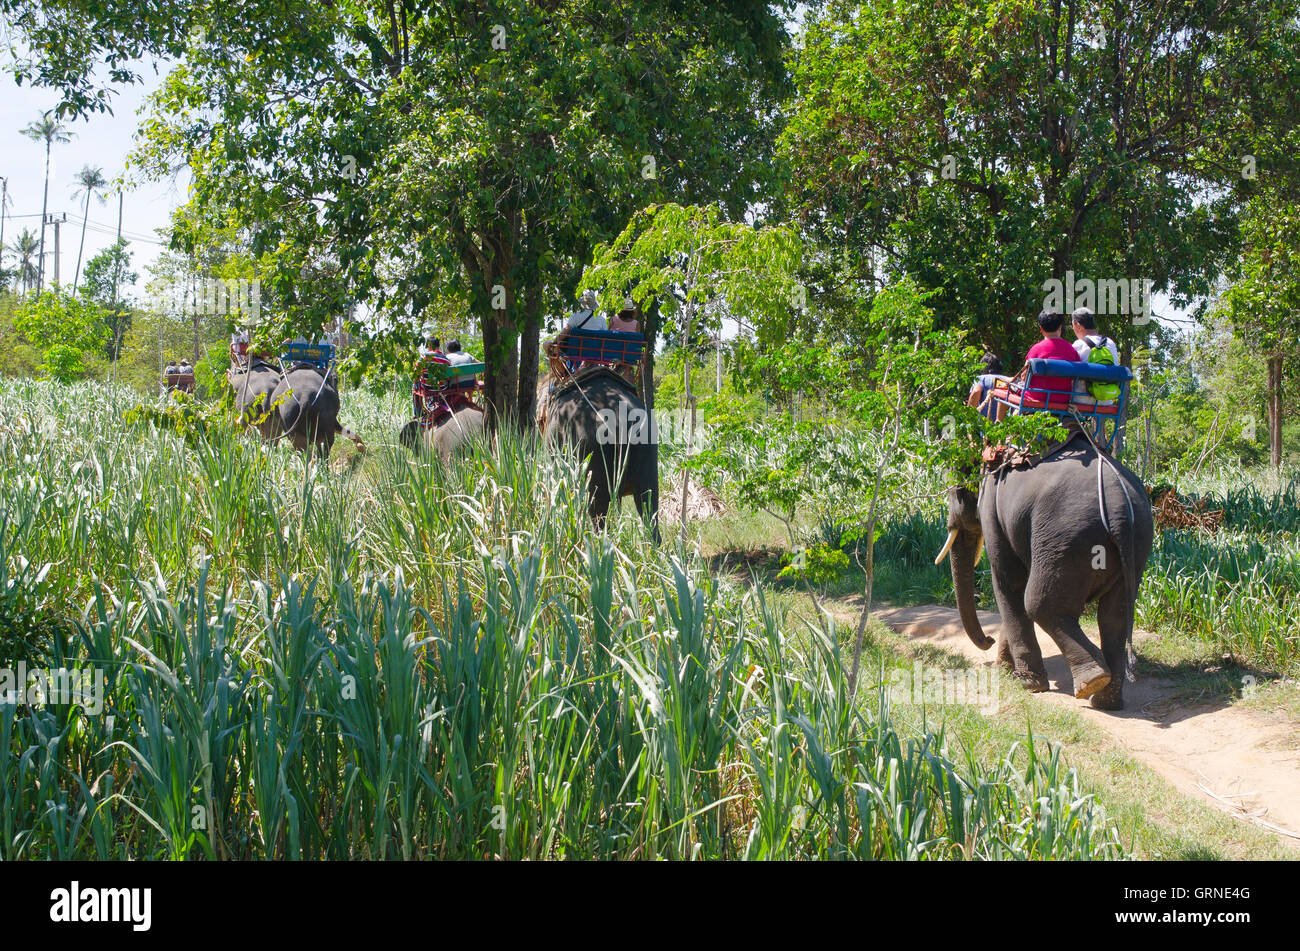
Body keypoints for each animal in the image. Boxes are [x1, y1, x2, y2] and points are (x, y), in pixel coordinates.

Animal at [935, 433, 1159, 711]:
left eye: (957, 492)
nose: (988, 640)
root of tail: (1118, 510)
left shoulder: (993, 509)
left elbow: (1009, 581)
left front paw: (1027, 684)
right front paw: (1004, 670)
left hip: (1067, 540)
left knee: (1040, 604)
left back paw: (1091, 682)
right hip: (1136, 541)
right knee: (1114, 615)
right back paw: (1106, 700)